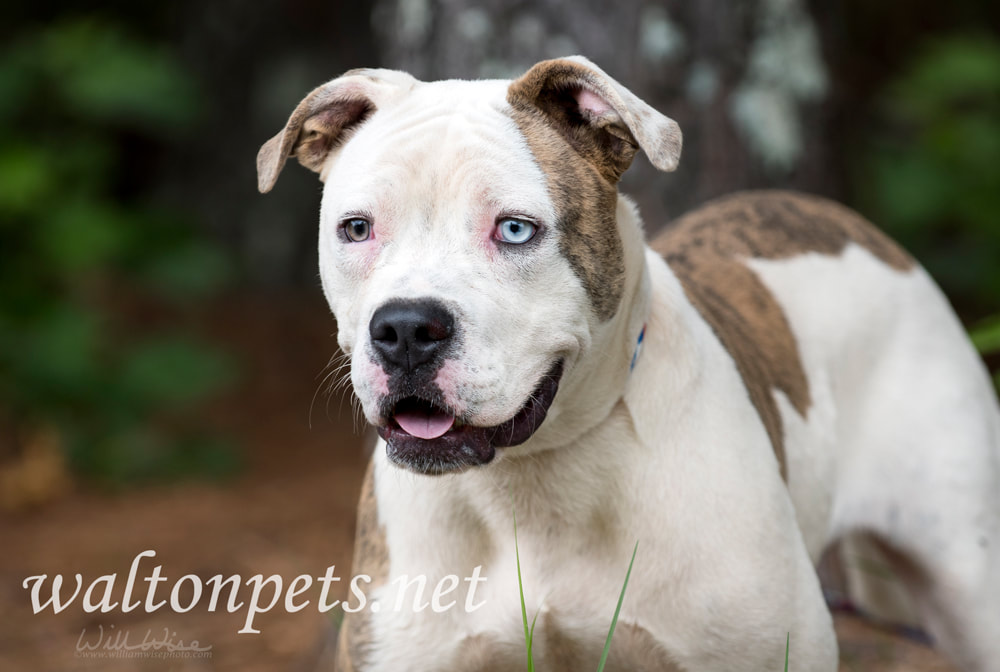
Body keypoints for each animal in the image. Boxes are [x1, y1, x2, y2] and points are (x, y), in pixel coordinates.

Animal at [258, 57, 1000, 672]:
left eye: (516, 229)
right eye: (356, 228)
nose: (407, 329)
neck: (537, 482)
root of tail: (851, 227)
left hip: (969, 584)